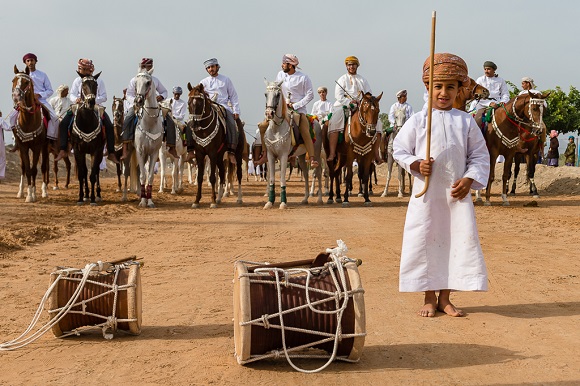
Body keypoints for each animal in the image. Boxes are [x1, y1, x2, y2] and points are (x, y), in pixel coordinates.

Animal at [11, 65, 48, 205]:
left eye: (26, 82)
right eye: (13, 81)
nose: (16, 96)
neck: (28, 120)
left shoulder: (37, 147)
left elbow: (34, 170)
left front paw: (32, 194)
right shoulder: (23, 147)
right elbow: (27, 169)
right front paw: (28, 195)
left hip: (44, 147)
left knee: (43, 167)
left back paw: (43, 192)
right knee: (23, 168)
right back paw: (21, 192)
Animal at [71, 72, 106, 205]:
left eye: (95, 85)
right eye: (83, 85)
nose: (91, 102)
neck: (86, 122)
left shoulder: (96, 150)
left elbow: (93, 174)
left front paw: (93, 199)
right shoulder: (78, 150)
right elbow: (82, 174)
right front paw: (81, 197)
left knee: (96, 171)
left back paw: (98, 194)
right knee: (85, 171)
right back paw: (86, 194)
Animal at [262, 79, 322, 210]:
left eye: (278, 95)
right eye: (265, 94)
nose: (269, 113)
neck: (276, 129)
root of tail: (316, 121)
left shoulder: (284, 156)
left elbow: (282, 178)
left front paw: (283, 203)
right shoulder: (271, 156)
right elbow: (272, 179)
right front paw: (269, 202)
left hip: (317, 154)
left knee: (318, 172)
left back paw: (320, 199)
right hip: (301, 156)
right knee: (305, 173)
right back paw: (305, 199)